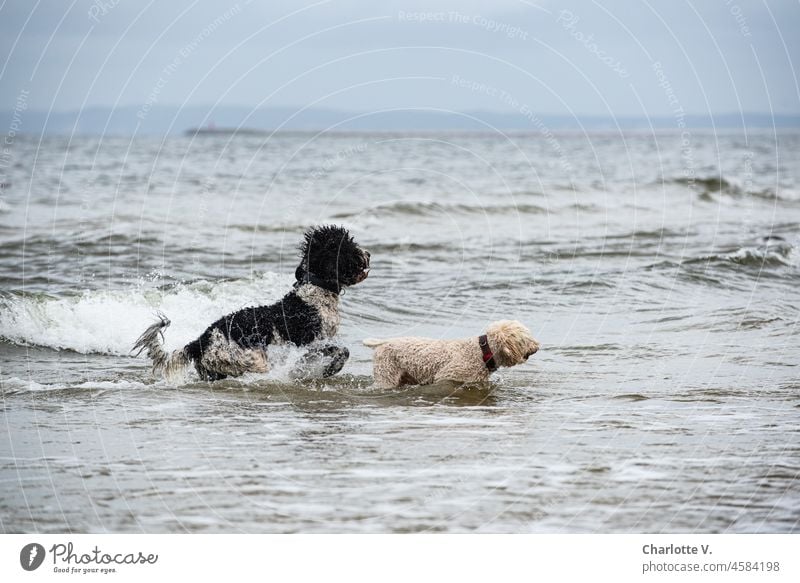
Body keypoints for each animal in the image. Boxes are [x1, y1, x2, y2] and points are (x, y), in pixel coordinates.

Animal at [134, 225, 372, 384]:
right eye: (348, 245)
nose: (368, 253)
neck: (314, 293)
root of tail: (200, 341)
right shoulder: (311, 341)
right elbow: (342, 350)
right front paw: (328, 368)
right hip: (252, 360)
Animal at [364, 320, 540, 388]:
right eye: (526, 338)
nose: (537, 346)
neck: (481, 352)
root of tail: (382, 342)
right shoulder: (447, 376)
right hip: (386, 376)